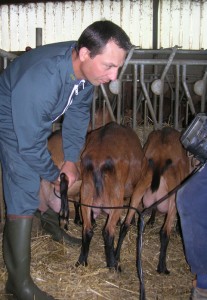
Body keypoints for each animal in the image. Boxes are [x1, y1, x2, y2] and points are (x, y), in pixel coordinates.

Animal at [75, 120, 145, 270]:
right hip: (115, 199)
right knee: (108, 232)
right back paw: (113, 265)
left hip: (86, 194)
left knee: (87, 229)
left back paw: (82, 261)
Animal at [115, 126, 192, 274]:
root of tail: (160, 161)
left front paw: (151, 220)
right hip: (172, 200)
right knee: (164, 232)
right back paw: (162, 267)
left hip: (138, 191)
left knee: (125, 225)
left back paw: (116, 259)